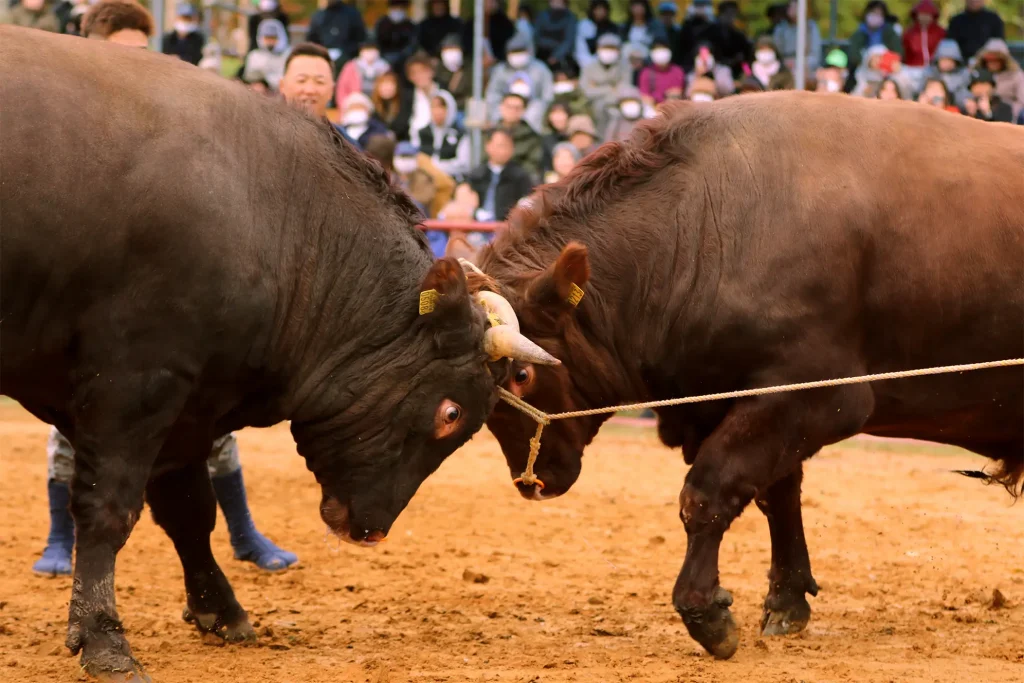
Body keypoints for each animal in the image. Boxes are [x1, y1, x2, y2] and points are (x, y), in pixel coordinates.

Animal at [0, 25, 561, 679]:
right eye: (450, 414)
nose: (371, 532)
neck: (273, 217)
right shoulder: (134, 386)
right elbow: (108, 508)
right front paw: (103, 637)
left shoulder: (189, 405)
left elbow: (189, 509)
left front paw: (220, 609)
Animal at [466, 93, 1024, 659]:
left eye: (521, 374)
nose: (532, 483)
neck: (703, 227)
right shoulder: (739, 405)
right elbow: (777, 497)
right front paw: (787, 600)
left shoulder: (814, 398)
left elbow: (708, 491)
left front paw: (705, 611)